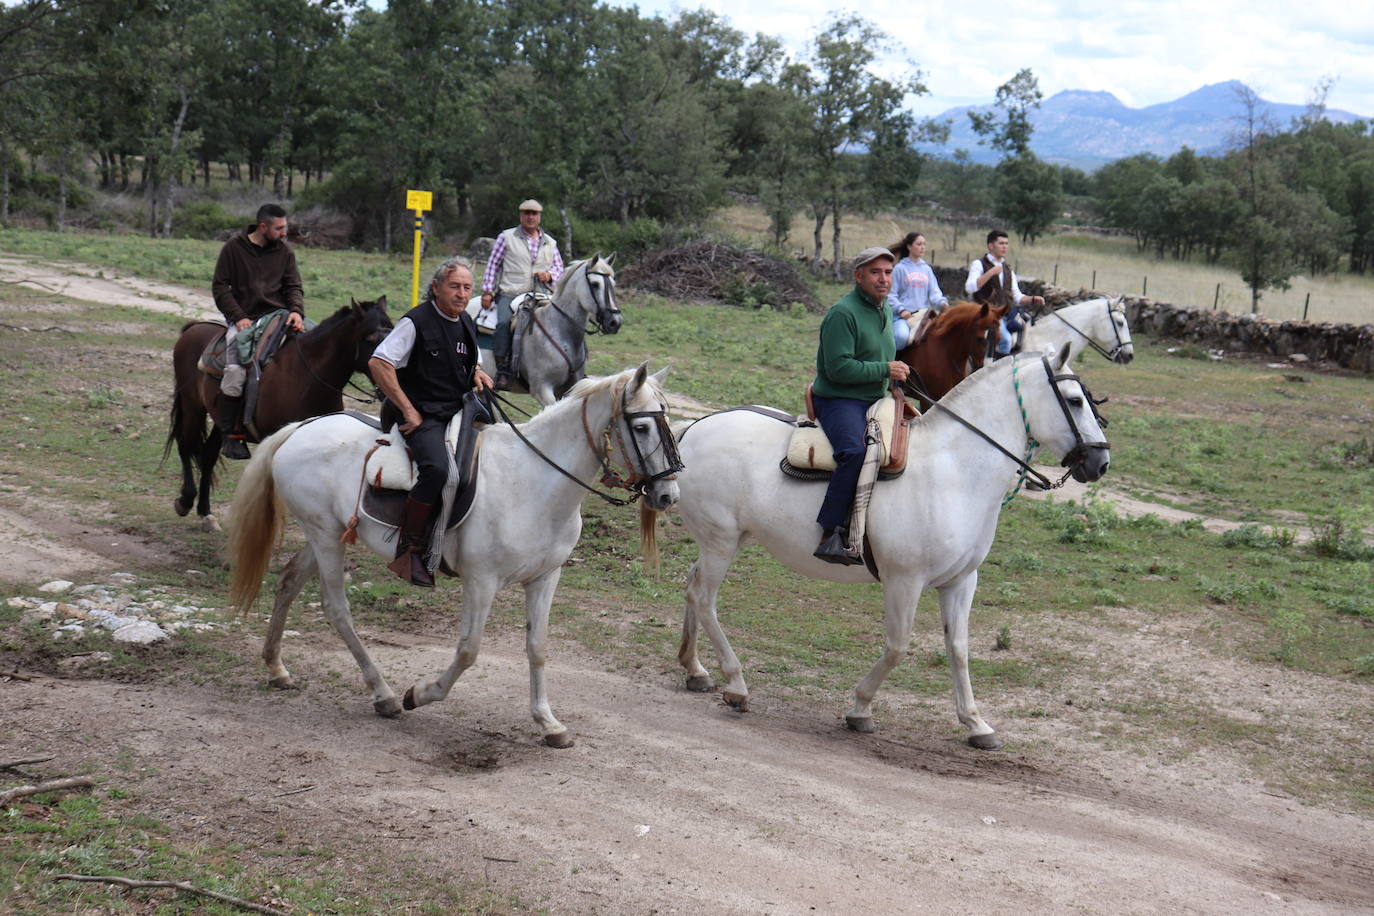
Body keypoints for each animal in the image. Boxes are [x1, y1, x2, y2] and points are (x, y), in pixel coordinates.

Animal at [166, 300, 395, 530]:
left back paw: (206, 513)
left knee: (208, 455)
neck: (307, 378)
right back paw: (185, 500)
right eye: (371, 339)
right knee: (185, 444)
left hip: (219, 421)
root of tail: (194, 327)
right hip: (192, 406)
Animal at [228, 362, 684, 747]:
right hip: (325, 537)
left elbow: (537, 647)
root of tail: (303, 427)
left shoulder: (545, 577)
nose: (668, 495)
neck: (534, 481)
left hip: (326, 534)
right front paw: (420, 693)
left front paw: (548, 723)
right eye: (642, 426)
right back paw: (385, 694)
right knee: (337, 609)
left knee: (289, 581)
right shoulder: (481, 581)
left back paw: (276, 668)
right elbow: (468, 650)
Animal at [469, 252, 626, 406]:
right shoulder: (542, 390)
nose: (615, 322)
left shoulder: (569, 389)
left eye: (613, 284)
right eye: (595, 284)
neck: (559, 332)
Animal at [648, 347, 1110, 747]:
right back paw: (736, 684)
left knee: (692, 586)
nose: (1100, 462)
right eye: (1074, 400)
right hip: (721, 541)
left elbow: (958, 649)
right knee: (704, 599)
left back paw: (695, 669)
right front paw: (860, 708)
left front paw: (976, 724)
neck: (955, 473)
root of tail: (694, 429)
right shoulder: (904, 581)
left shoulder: (961, 581)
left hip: (726, 541)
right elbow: (897, 647)